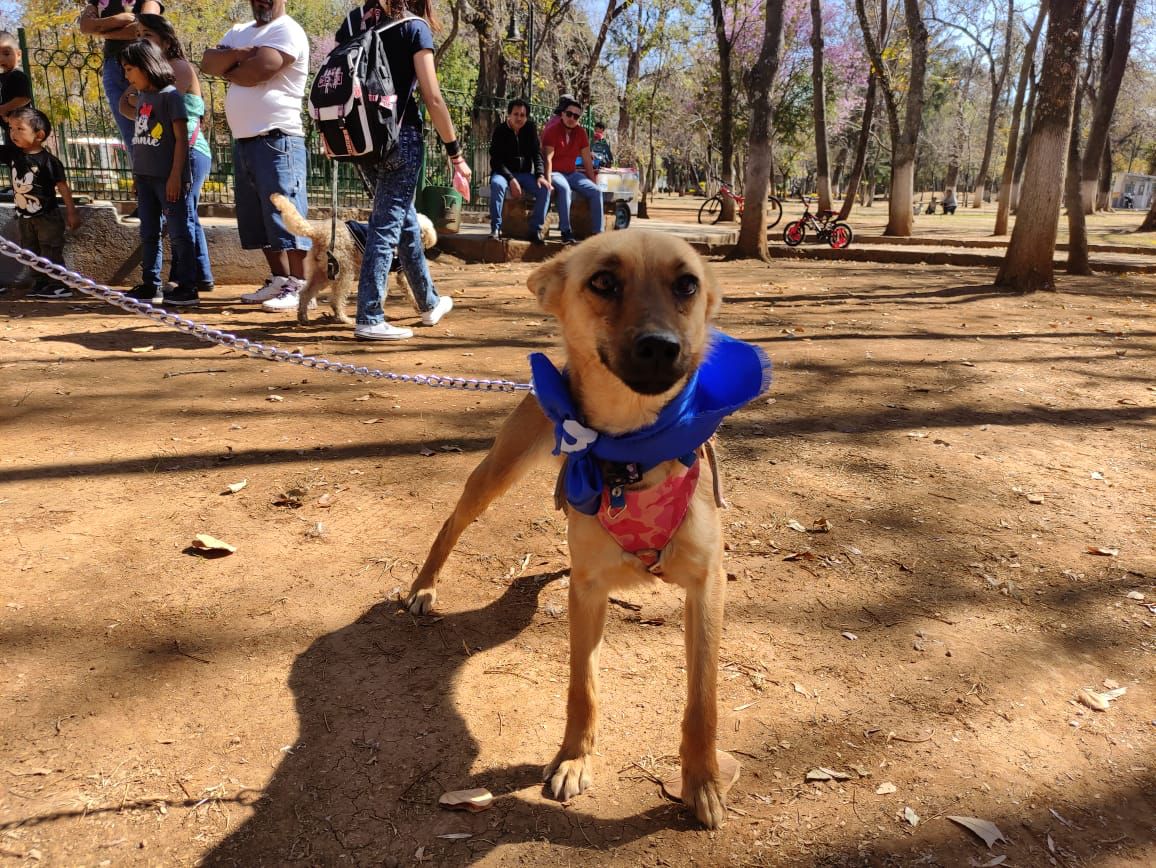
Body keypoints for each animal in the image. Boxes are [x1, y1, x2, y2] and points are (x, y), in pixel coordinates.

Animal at [268, 191, 434, 323]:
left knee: (305, 293)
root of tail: (318, 232)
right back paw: (343, 318)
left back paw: (303, 317)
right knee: (336, 300)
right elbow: (411, 289)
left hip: (322, 272)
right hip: (343, 271)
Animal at [406, 228, 730, 827]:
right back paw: (424, 587)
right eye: (602, 281)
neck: (634, 453)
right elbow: (583, 687)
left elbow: (702, 701)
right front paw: (574, 760)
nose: (661, 346)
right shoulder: (590, 592)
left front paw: (703, 783)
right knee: (452, 522)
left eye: (687, 284)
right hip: (497, 473)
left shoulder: (706, 586)